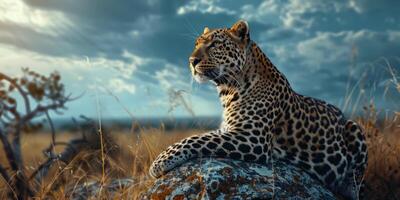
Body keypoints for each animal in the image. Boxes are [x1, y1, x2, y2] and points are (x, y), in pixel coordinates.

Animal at [148, 20, 368, 200]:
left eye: (214, 44)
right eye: (196, 44)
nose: (191, 61)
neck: (228, 89)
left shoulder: (252, 138)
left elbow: (196, 139)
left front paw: (159, 162)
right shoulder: (228, 129)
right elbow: (201, 136)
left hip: (354, 127)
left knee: (356, 179)